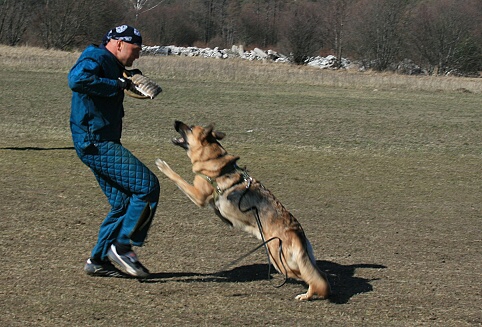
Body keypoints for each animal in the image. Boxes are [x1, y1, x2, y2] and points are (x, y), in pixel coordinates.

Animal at [156, 121, 330, 302]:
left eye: (190, 128)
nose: (175, 122)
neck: (212, 158)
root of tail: (296, 231)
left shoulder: (198, 196)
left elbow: (177, 178)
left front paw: (162, 165)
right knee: (320, 275)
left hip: (280, 262)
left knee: (314, 279)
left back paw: (307, 295)